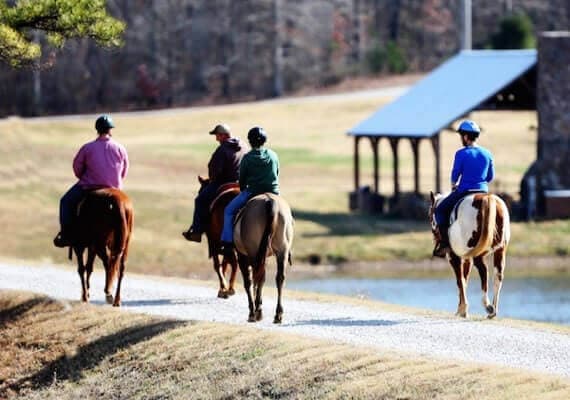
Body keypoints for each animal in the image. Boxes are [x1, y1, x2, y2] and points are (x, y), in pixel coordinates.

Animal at [232, 192, 292, 324]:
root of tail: (270, 201)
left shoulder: (242, 257)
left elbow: (248, 282)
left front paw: (252, 311)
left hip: (254, 253)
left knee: (256, 278)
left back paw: (256, 312)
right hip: (282, 251)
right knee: (279, 278)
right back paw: (278, 314)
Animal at [428, 192, 508, 320]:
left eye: (430, 215)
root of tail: (487, 197)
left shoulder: (454, 258)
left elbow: (460, 281)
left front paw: (463, 309)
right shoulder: (466, 260)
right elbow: (464, 280)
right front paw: (461, 309)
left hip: (477, 255)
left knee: (483, 271)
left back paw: (487, 306)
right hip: (500, 251)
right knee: (498, 276)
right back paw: (492, 311)